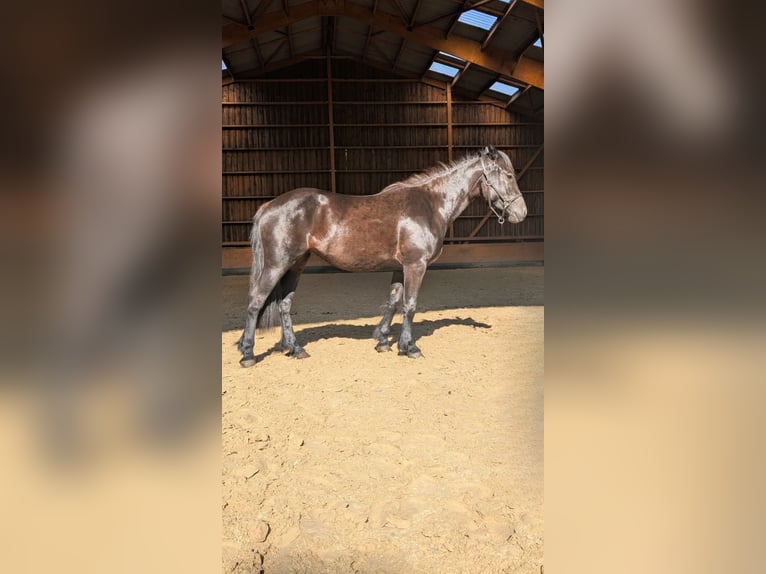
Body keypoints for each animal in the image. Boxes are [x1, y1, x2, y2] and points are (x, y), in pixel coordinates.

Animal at [237, 145, 527, 367]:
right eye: (508, 176)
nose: (521, 213)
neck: (430, 204)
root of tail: (269, 206)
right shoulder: (416, 265)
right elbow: (410, 305)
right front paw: (410, 347)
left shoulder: (401, 267)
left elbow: (393, 302)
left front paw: (384, 340)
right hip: (277, 264)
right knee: (255, 301)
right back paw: (248, 353)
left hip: (295, 265)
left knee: (284, 305)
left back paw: (295, 349)